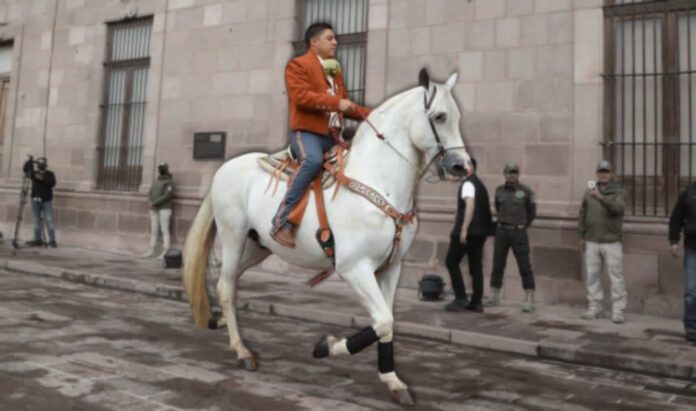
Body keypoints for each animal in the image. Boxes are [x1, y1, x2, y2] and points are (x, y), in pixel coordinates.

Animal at [182, 70, 470, 406]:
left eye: (457, 116)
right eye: (439, 116)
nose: (462, 166)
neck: (378, 181)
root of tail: (224, 168)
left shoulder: (391, 268)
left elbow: (386, 322)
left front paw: (393, 380)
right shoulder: (354, 268)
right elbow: (383, 320)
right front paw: (326, 346)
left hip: (259, 246)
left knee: (227, 281)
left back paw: (220, 322)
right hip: (233, 237)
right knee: (227, 287)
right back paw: (242, 351)